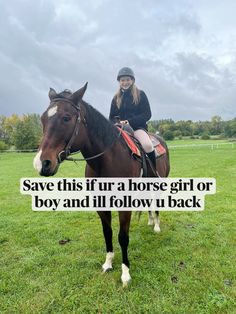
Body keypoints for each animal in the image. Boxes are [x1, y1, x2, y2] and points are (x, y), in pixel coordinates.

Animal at [33, 83, 170, 288]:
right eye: (43, 118)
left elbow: (122, 236)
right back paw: (150, 221)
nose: (42, 164)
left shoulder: (124, 205)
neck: (107, 159)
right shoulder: (100, 203)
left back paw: (156, 226)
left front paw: (125, 273)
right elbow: (107, 232)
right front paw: (108, 263)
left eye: (66, 118)